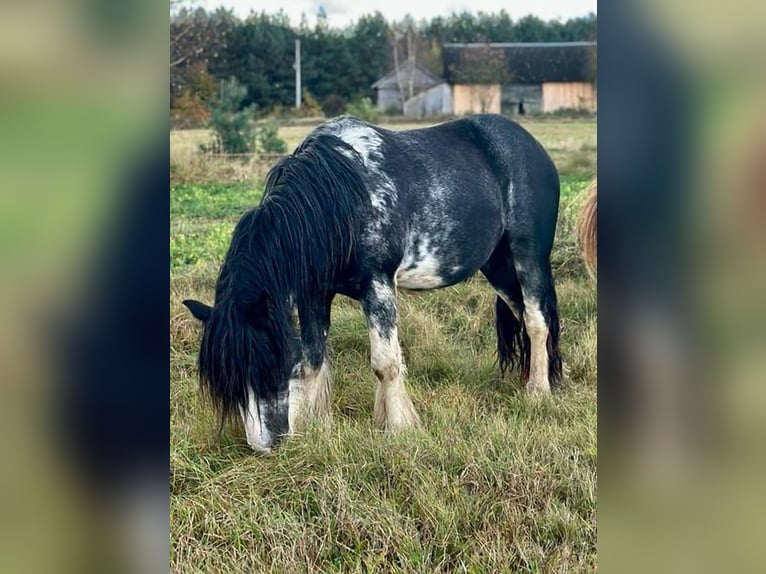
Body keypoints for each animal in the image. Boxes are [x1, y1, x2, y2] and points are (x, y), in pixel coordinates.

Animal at [184, 115, 564, 452]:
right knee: (522, 315)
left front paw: (397, 427)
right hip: (496, 266)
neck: (343, 199)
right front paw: (315, 426)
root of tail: (532, 146)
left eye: (266, 363)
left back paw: (537, 392)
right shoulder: (315, 294)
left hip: (527, 255)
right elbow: (312, 359)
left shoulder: (378, 285)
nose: (265, 445)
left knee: (536, 320)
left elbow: (385, 363)